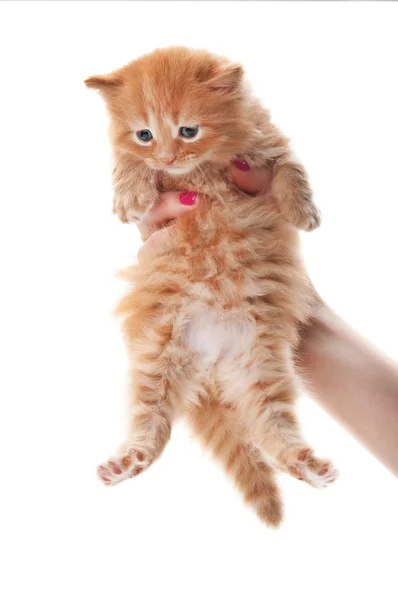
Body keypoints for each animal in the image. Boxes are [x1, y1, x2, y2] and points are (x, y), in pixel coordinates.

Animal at [85, 45, 338, 524]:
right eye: (144, 134)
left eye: (188, 130)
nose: (167, 158)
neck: (202, 167)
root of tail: (212, 363)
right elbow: (127, 162)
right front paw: (130, 193)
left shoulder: (268, 143)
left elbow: (291, 167)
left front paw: (303, 211)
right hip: (157, 358)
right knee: (153, 424)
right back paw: (128, 461)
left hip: (261, 369)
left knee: (273, 427)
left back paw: (307, 465)